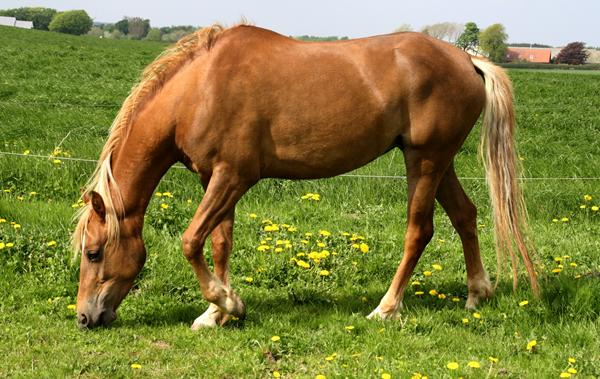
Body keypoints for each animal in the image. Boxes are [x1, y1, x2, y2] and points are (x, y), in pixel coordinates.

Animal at [72, 23, 536, 330]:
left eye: (93, 253)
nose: (84, 317)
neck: (199, 89)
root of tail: (467, 59)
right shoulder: (214, 179)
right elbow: (218, 243)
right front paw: (216, 312)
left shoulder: (233, 177)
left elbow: (191, 241)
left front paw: (228, 304)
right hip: (439, 162)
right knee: (465, 215)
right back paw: (476, 293)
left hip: (424, 162)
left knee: (419, 231)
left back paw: (386, 308)